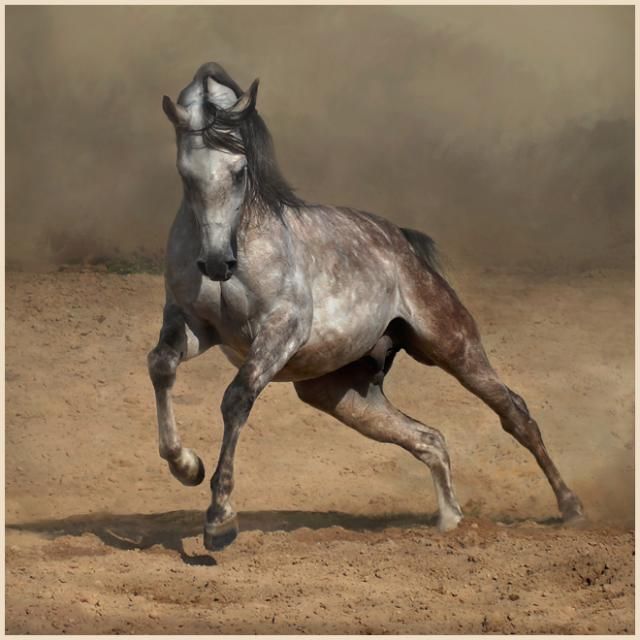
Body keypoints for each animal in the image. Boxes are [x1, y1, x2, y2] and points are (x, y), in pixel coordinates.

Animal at [148, 62, 584, 552]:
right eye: (186, 175)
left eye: (240, 171)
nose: (217, 263)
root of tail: (402, 241)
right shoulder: (195, 325)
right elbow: (161, 365)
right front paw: (186, 466)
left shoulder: (280, 330)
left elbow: (236, 398)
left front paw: (219, 519)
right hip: (342, 394)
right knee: (430, 437)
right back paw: (449, 520)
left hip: (454, 348)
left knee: (516, 414)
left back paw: (570, 508)